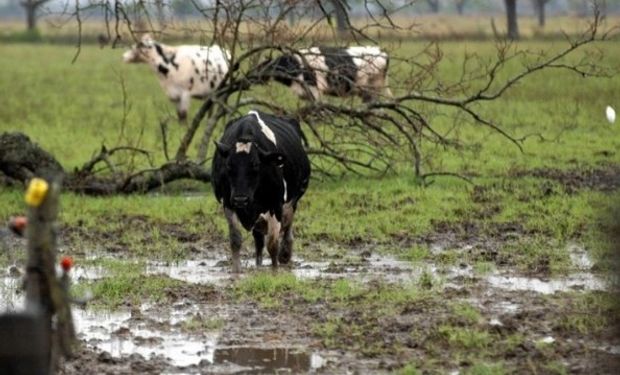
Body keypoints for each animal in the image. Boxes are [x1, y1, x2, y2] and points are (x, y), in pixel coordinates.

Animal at [212, 110, 310, 272]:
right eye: (228, 165)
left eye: (256, 165)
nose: (240, 199)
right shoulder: (228, 203)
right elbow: (235, 240)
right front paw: (236, 271)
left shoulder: (275, 205)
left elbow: (273, 244)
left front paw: (275, 271)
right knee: (258, 241)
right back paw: (258, 265)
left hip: (292, 201)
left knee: (287, 227)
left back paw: (285, 254)